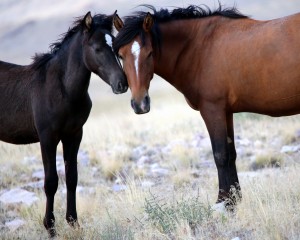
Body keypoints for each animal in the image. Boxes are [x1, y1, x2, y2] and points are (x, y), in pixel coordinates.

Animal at [0, 11, 127, 236]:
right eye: (97, 49)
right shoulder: (47, 138)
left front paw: (74, 222)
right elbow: (51, 182)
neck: (63, 90)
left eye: (115, 47)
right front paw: (50, 227)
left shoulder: (74, 135)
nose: (122, 84)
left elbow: (72, 178)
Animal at [113, 5, 300, 207]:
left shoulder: (212, 110)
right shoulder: (226, 112)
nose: (140, 103)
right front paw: (234, 199)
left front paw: (223, 202)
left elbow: (220, 155)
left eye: (149, 53)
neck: (199, 47)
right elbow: (231, 154)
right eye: (121, 55)